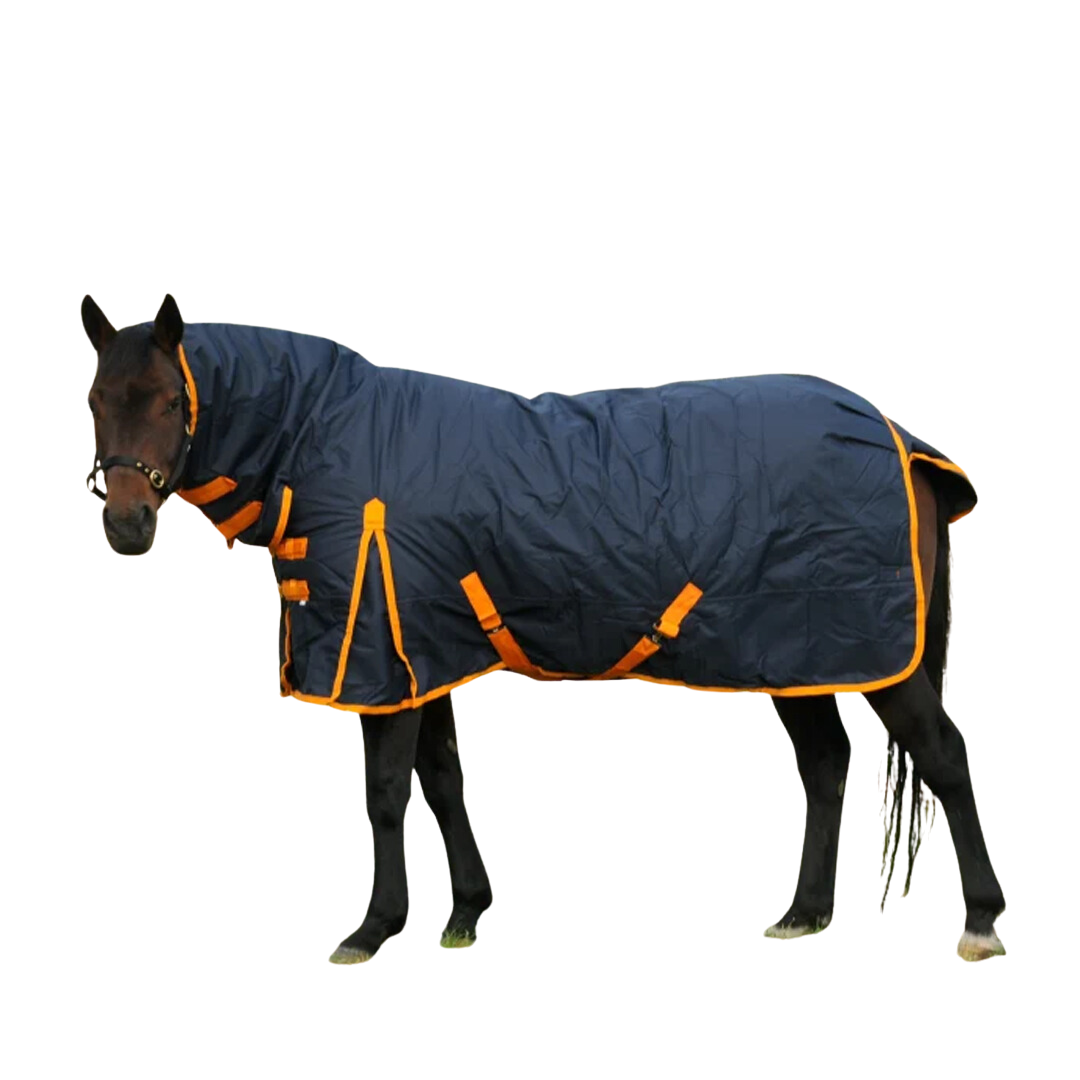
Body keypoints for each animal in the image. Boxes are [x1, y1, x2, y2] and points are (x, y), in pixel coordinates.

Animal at [82, 293, 1006, 963]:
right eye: (94, 399)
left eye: (169, 398)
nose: (125, 525)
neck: (329, 435)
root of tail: (902, 439)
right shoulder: (426, 653)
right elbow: (442, 782)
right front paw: (465, 914)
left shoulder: (381, 656)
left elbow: (385, 795)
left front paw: (374, 928)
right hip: (798, 649)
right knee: (826, 765)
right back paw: (804, 913)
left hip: (875, 654)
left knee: (943, 755)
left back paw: (980, 921)